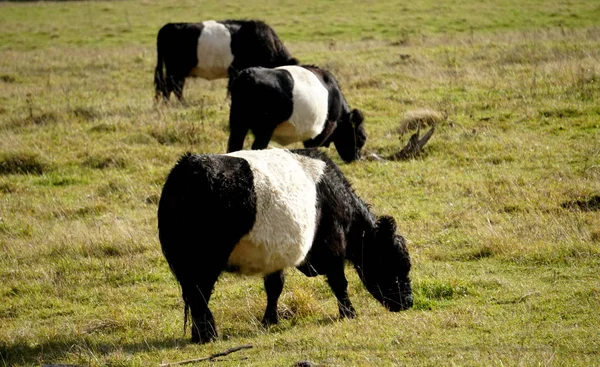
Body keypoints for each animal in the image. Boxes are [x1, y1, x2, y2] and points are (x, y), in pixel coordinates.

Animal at [154, 20, 296, 102]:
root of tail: (167, 26)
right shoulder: (237, 70)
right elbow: (230, 90)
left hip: (177, 71)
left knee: (173, 87)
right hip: (175, 70)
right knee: (170, 88)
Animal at [157, 148, 414, 344]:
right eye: (395, 262)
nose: (409, 302)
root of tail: (188, 168)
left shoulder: (274, 257)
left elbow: (274, 287)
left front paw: (270, 320)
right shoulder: (333, 246)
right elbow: (339, 283)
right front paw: (349, 313)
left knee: (193, 297)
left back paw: (199, 335)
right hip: (206, 261)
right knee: (200, 295)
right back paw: (208, 336)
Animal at [227, 65, 366, 163]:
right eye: (362, 138)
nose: (356, 159)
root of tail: (248, 74)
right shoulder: (323, 129)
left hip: (238, 125)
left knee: (234, 147)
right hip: (265, 128)